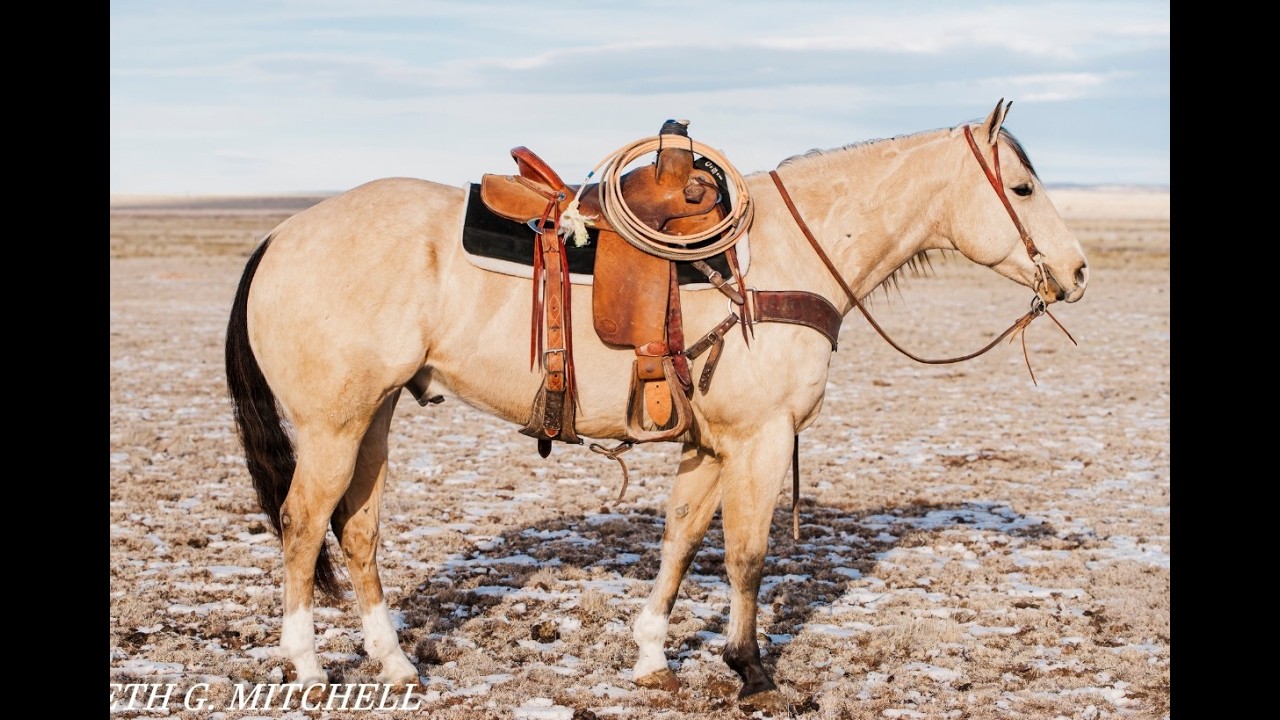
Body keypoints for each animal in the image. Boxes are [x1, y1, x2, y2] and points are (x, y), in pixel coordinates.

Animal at [224, 100, 1089, 700]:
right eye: (1021, 186)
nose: (1078, 271)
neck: (786, 256)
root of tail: (280, 235)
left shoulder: (710, 444)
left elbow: (680, 542)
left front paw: (649, 657)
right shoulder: (760, 439)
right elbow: (747, 557)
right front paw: (752, 671)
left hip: (373, 418)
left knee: (357, 530)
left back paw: (398, 665)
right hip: (333, 425)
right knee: (302, 526)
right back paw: (308, 669)